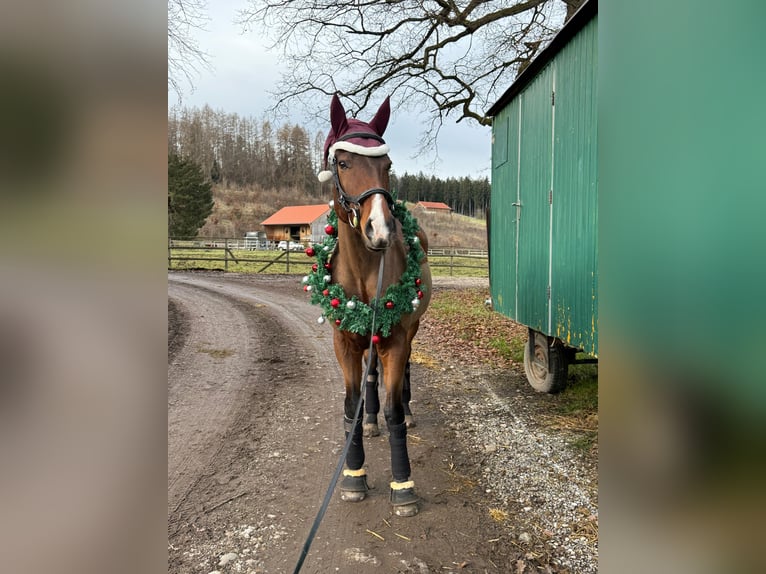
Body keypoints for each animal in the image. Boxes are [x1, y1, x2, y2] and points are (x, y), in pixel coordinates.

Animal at [306, 94, 432, 516]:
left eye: (387, 165)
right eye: (343, 163)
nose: (380, 229)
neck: (363, 271)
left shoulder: (395, 340)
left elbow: (394, 408)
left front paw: (403, 483)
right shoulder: (344, 344)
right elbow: (350, 407)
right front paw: (354, 475)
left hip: (406, 332)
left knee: (401, 378)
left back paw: (407, 411)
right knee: (371, 377)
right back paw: (372, 419)